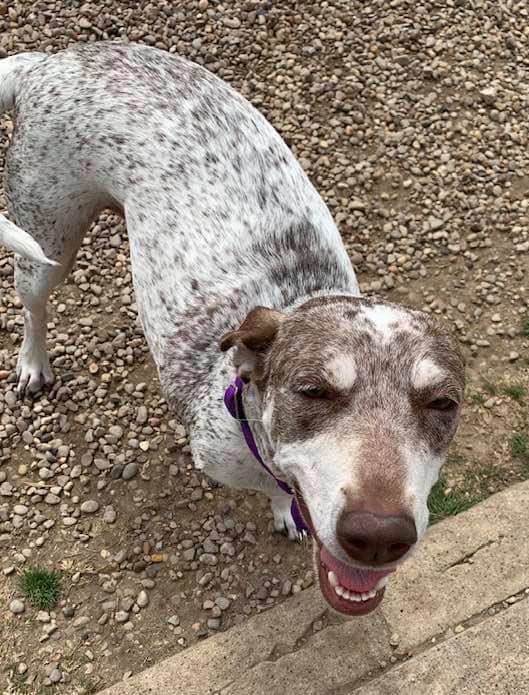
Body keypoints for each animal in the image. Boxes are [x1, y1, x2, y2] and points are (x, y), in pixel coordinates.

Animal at [0, 43, 462, 616]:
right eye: (312, 390)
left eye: (443, 404)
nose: (378, 536)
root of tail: (47, 60)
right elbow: (269, 487)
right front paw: (282, 506)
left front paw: (287, 510)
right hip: (47, 241)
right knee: (33, 306)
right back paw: (33, 364)